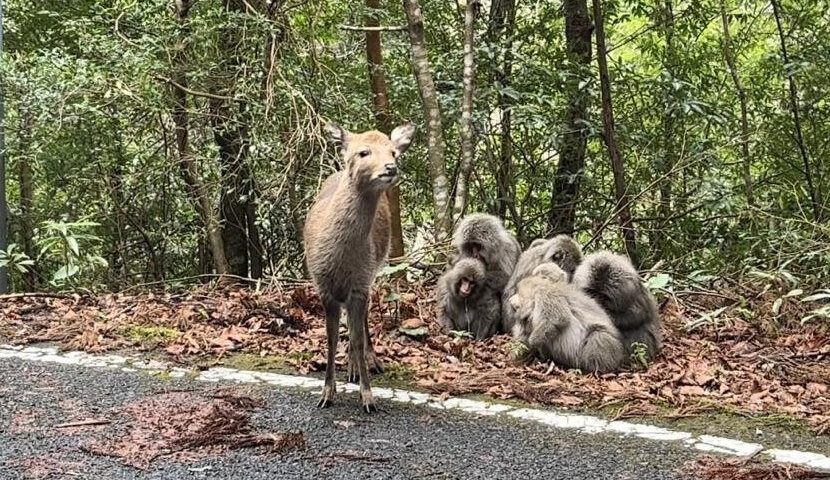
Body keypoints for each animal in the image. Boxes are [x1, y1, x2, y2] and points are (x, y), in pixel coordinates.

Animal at [302, 121, 416, 412]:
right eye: (363, 152)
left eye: (393, 151)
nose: (390, 168)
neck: (342, 257)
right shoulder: (323, 284)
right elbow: (331, 337)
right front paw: (326, 394)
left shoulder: (360, 282)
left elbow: (355, 335)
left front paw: (368, 397)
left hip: (373, 270)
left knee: (362, 321)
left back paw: (366, 362)